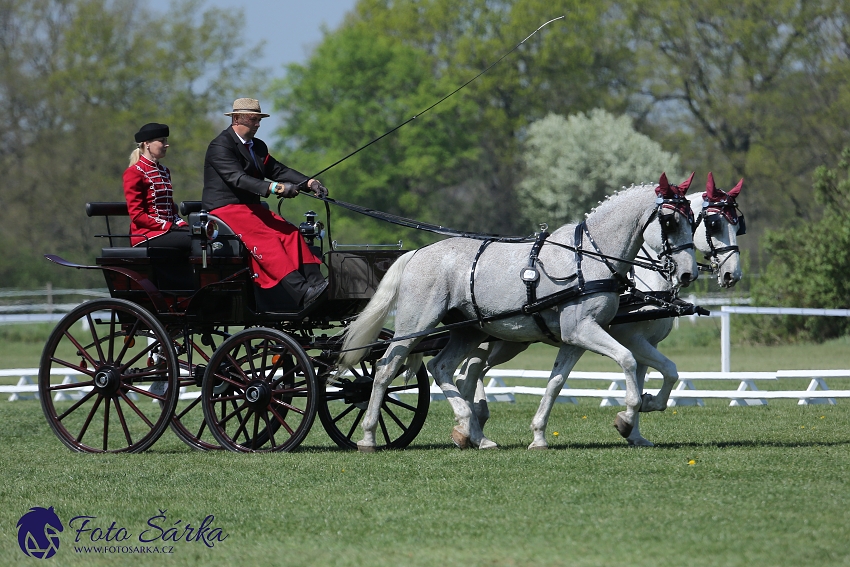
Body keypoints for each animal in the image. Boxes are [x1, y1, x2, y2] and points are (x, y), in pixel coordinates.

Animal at [334, 173, 700, 452]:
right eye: (670, 220)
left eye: (694, 221)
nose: (688, 273)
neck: (589, 258)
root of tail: (418, 252)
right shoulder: (586, 330)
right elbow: (627, 360)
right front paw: (627, 418)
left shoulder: (575, 337)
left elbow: (556, 382)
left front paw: (539, 436)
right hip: (416, 324)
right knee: (386, 368)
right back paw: (369, 436)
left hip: (469, 330)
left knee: (444, 368)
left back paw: (473, 432)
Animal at [458, 173, 744, 448]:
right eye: (714, 224)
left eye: (738, 225)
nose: (733, 275)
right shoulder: (629, 338)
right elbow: (658, 370)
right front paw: (633, 415)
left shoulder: (646, 344)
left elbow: (660, 374)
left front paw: (636, 427)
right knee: (469, 372)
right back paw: (472, 425)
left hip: (510, 340)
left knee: (471, 371)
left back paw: (471, 425)